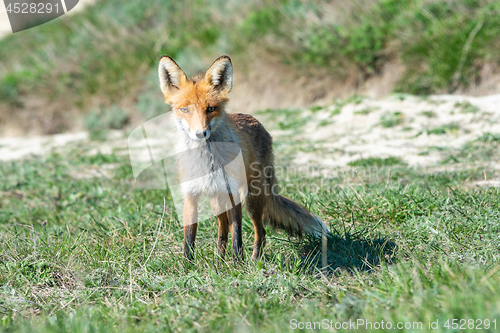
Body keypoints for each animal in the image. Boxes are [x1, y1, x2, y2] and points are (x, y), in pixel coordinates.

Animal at [156, 55, 328, 262]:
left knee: (260, 232)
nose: (200, 133)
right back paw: (219, 260)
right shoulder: (190, 196)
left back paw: (253, 261)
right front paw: (187, 266)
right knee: (222, 230)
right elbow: (189, 239)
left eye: (211, 108)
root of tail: (256, 122)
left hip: (252, 200)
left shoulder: (233, 194)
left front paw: (238, 263)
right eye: (185, 110)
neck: (208, 162)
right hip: (217, 201)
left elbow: (237, 233)